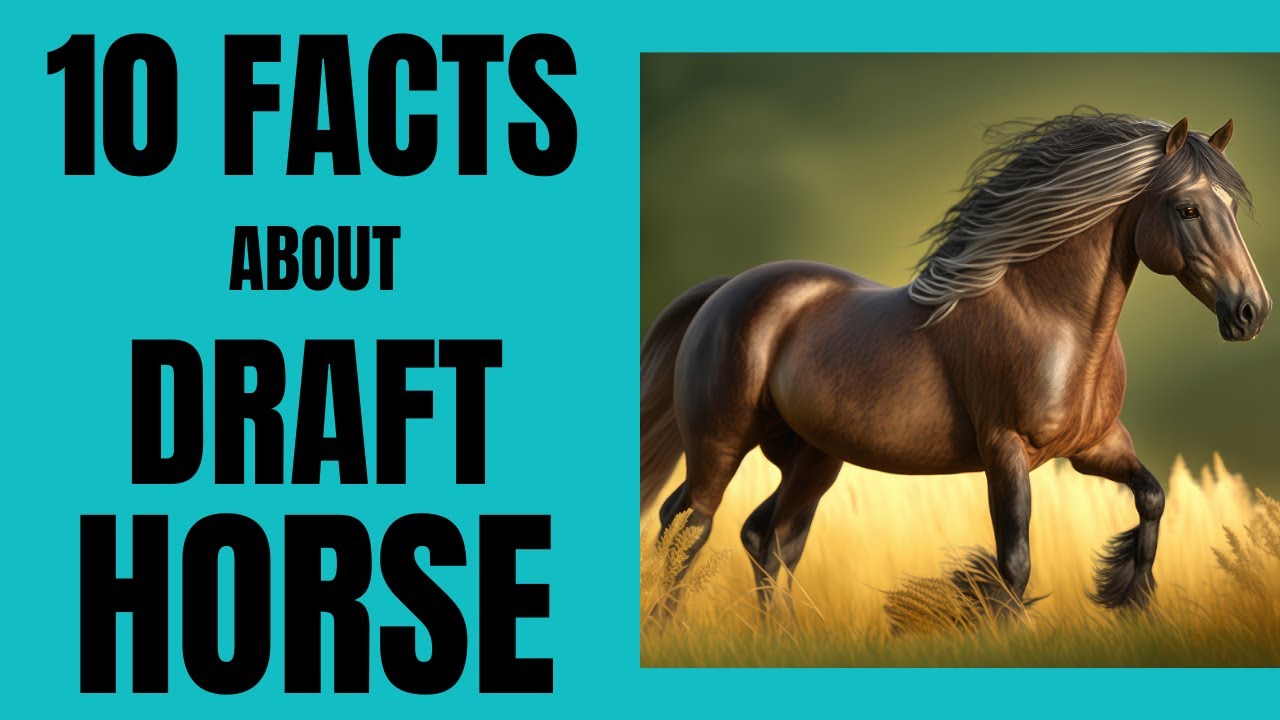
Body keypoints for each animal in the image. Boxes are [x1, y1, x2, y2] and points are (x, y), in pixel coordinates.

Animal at [640, 111, 1270, 618]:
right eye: (1187, 208)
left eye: (1231, 206)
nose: (1251, 311)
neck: (1052, 317)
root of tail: (728, 290)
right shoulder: (1005, 451)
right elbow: (1013, 566)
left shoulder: (1093, 448)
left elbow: (1152, 498)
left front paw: (1127, 596)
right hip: (721, 443)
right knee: (688, 527)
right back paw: (671, 632)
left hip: (813, 458)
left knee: (768, 540)